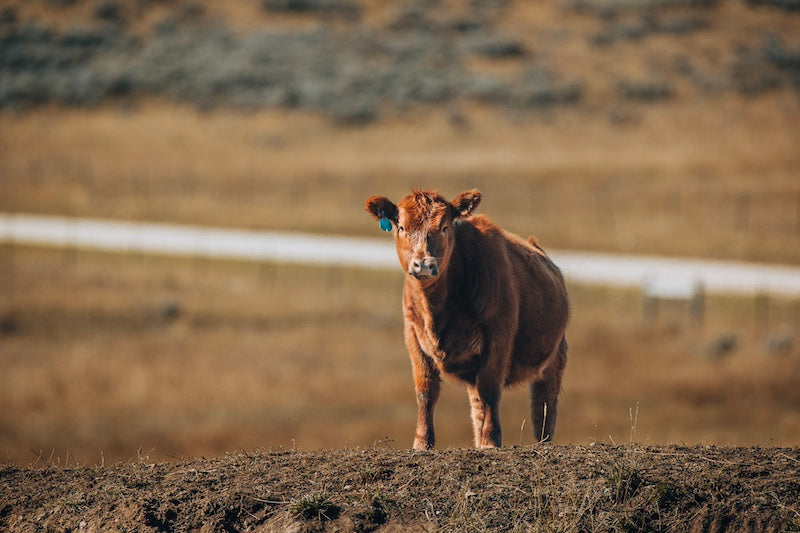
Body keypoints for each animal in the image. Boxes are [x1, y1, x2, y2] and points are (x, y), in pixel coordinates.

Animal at [366, 189, 564, 446]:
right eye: (401, 226)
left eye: (444, 227)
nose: (424, 264)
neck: (437, 311)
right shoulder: (413, 336)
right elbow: (425, 391)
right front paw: (422, 442)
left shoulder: (498, 335)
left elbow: (490, 388)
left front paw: (490, 441)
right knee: (478, 405)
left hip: (555, 357)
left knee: (543, 407)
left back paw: (541, 442)